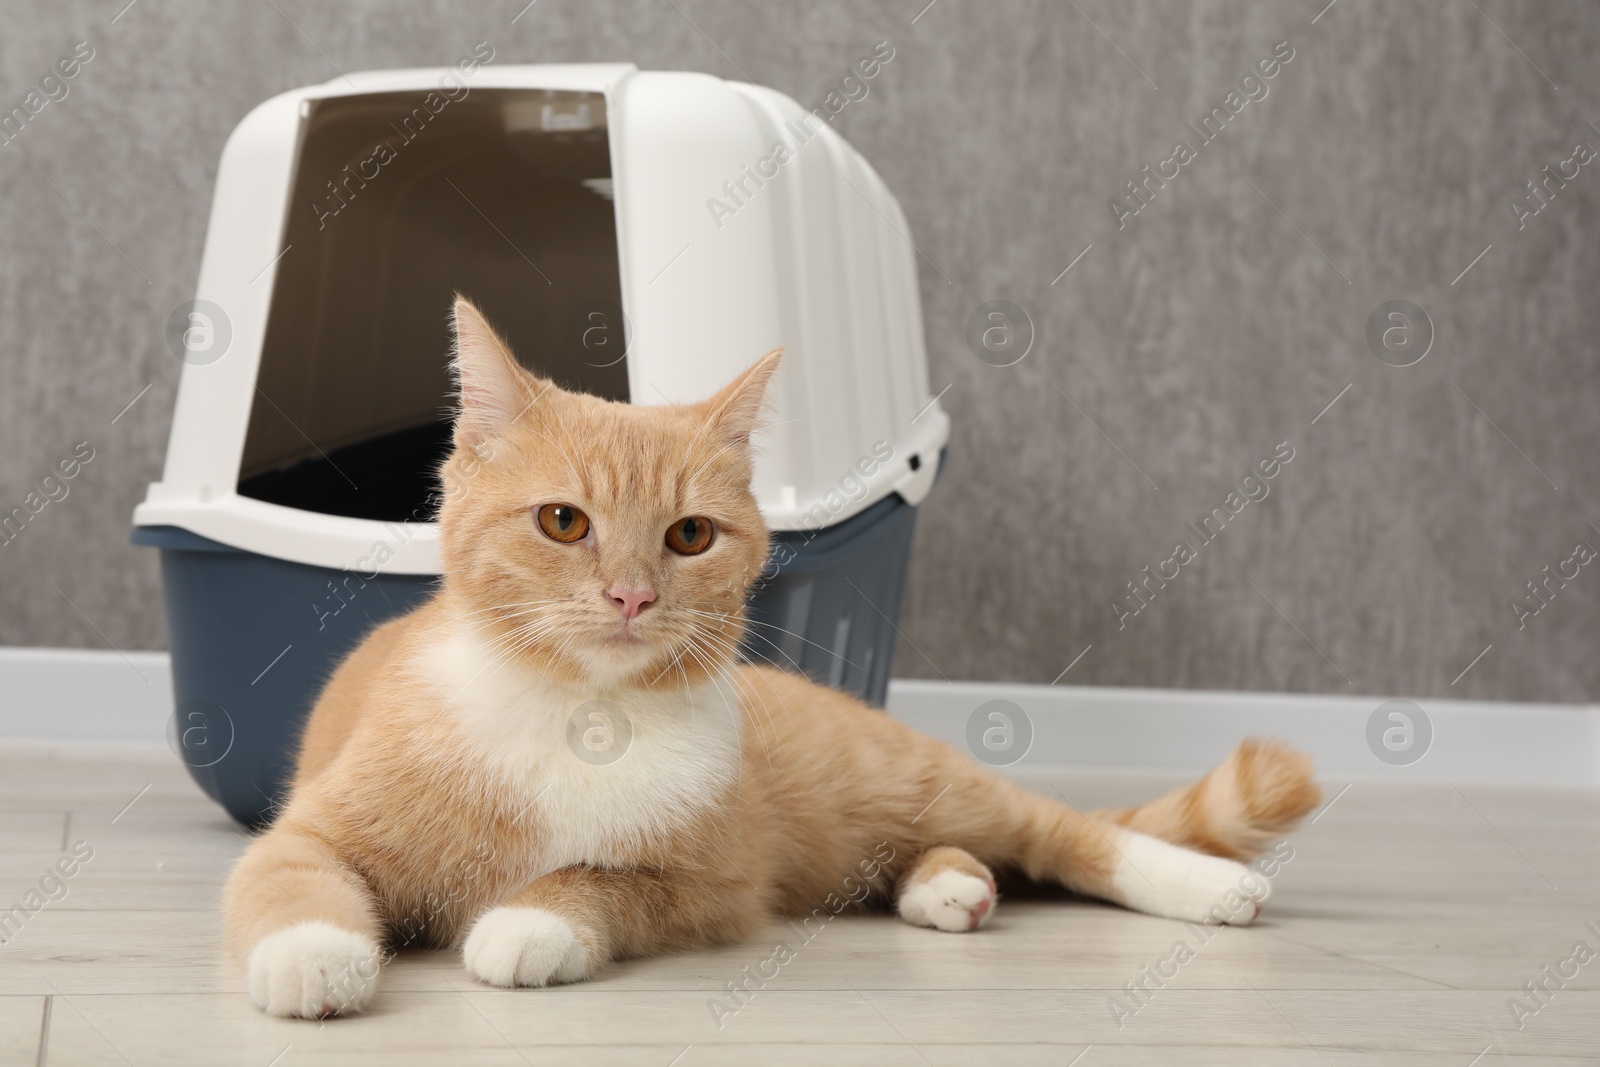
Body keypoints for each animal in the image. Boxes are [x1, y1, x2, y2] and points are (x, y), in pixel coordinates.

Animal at [225, 299, 1324, 1017]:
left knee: (1060, 831)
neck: (584, 715)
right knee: (951, 853)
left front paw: (528, 921)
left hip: (911, 776)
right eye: (562, 520)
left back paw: (1204, 884)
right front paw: (314, 952)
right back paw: (946, 886)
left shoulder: (709, 888)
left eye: (689, 536)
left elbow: (597, 878)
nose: (632, 595)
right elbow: (290, 873)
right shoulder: (315, 824)